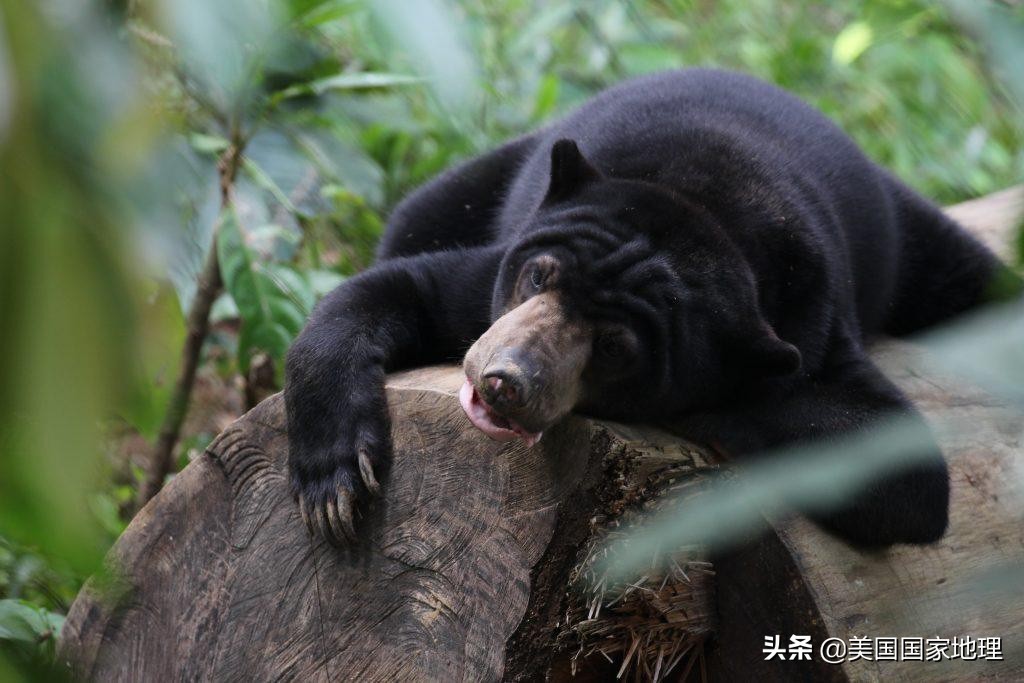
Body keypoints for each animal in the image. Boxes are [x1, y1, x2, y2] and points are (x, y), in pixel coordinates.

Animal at [284, 69, 1011, 548]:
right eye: (538, 275)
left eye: (615, 347)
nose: (505, 381)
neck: (703, 203)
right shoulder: (496, 272)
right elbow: (398, 290)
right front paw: (335, 486)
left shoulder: (817, 316)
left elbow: (903, 473)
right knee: (420, 212)